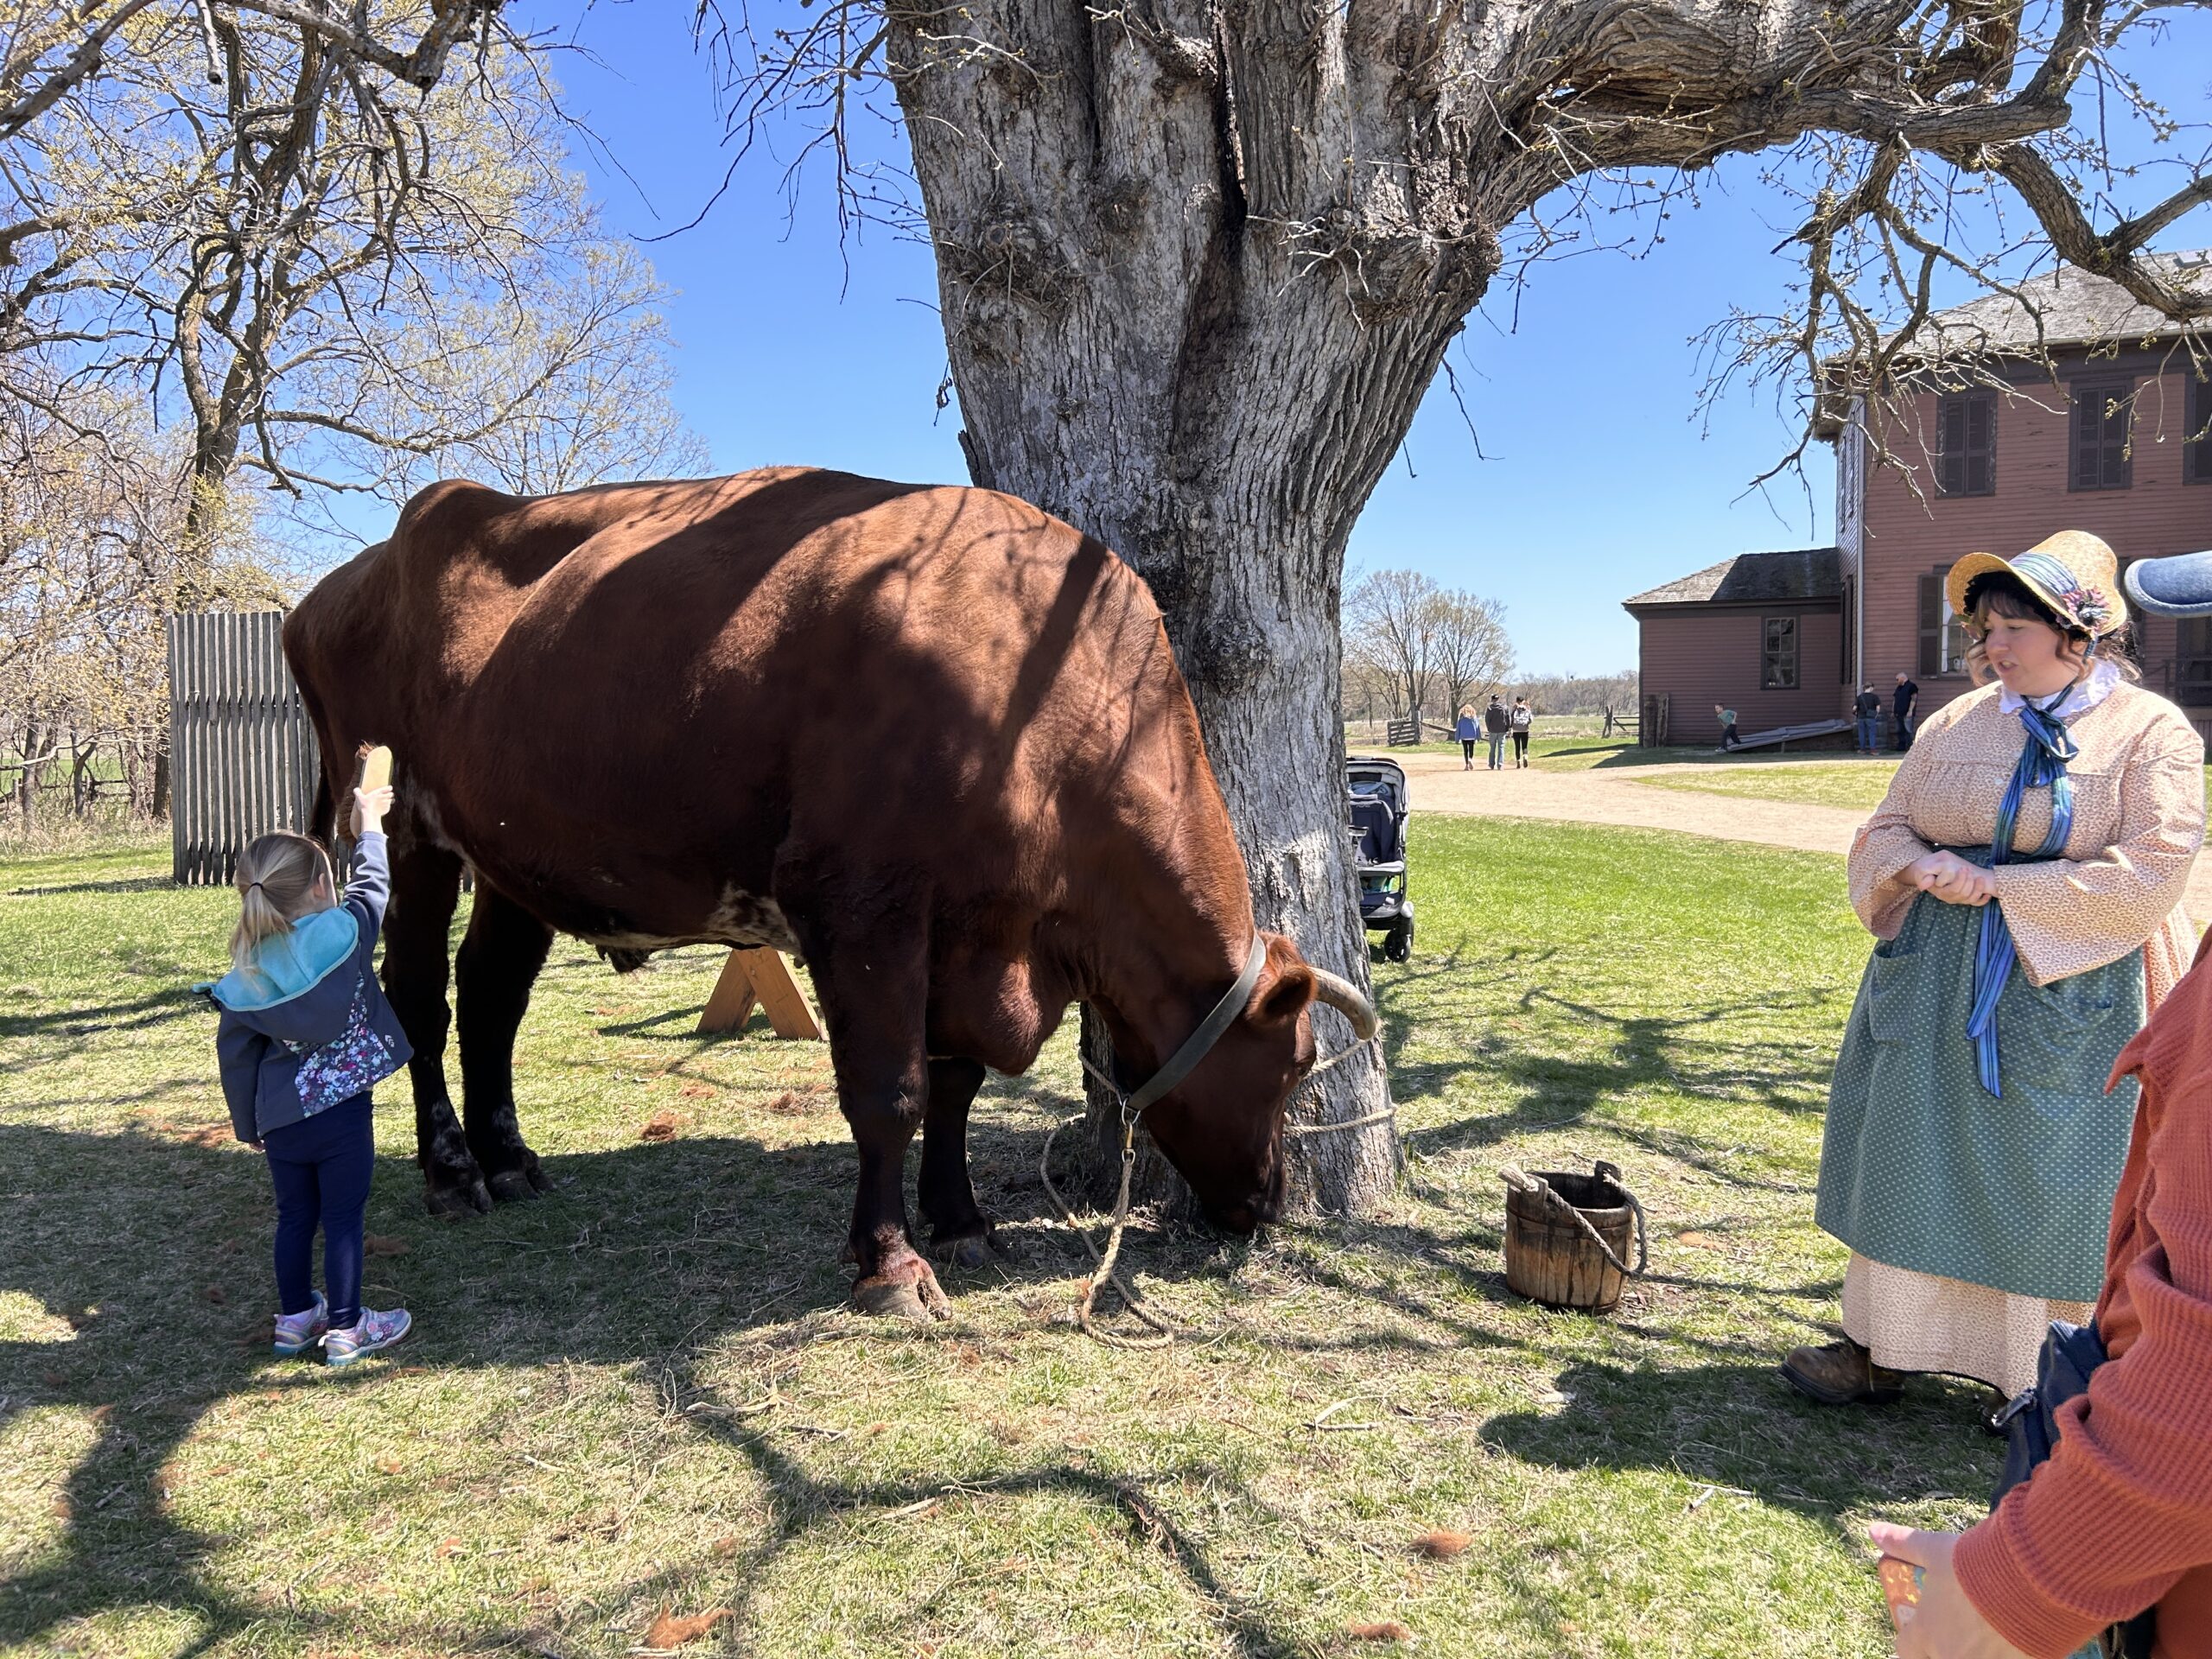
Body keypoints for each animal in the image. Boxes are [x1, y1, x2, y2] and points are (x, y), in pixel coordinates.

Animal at [283, 467, 1377, 1318]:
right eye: (1292, 1066)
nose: (1267, 1203)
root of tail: (344, 580)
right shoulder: (863, 907)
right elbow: (889, 1093)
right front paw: (890, 1263)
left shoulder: (966, 935)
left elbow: (953, 1085)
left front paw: (963, 1219)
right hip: (411, 827)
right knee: (420, 997)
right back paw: (452, 1172)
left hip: (518, 856)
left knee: (491, 998)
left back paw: (510, 1159)